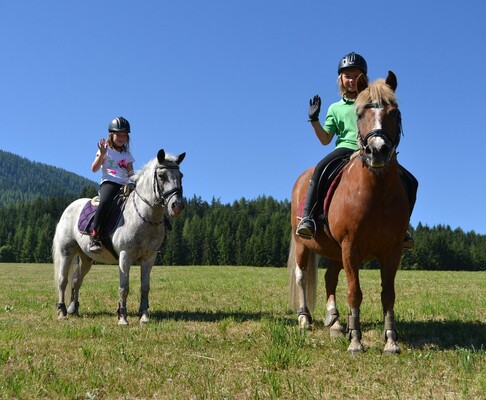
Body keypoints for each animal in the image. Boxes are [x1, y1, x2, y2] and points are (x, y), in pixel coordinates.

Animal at [53, 149, 185, 324]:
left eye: (181, 175)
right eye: (162, 176)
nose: (177, 206)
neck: (145, 216)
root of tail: (69, 207)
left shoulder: (149, 258)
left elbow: (145, 287)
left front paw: (144, 316)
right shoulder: (125, 255)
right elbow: (124, 287)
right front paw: (122, 317)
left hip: (86, 258)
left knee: (76, 280)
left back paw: (73, 309)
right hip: (66, 251)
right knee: (63, 281)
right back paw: (62, 311)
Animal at [288, 72, 410, 354]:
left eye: (394, 112)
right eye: (361, 113)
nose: (378, 150)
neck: (376, 192)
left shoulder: (392, 250)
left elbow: (388, 294)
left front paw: (390, 340)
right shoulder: (350, 246)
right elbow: (355, 291)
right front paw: (356, 340)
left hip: (334, 251)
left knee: (329, 279)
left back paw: (334, 321)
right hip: (302, 243)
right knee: (301, 276)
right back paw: (304, 318)